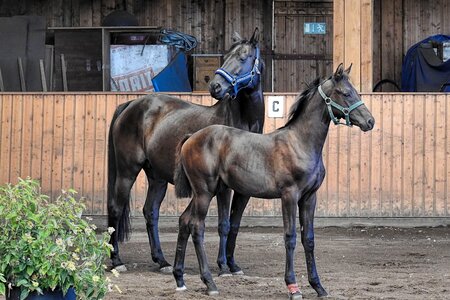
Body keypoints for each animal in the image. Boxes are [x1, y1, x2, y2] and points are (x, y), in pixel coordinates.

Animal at [174, 63, 374, 298]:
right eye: (345, 93)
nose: (370, 121)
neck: (300, 143)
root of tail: (191, 138)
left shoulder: (309, 198)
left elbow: (309, 239)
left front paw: (318, 286)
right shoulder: (289, 196)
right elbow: (290, 238)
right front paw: (293, 287)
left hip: (202, 193)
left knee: (184, 221)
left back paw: (179, 279)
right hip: (205, 192)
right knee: (197, 227)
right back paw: (210, 283)